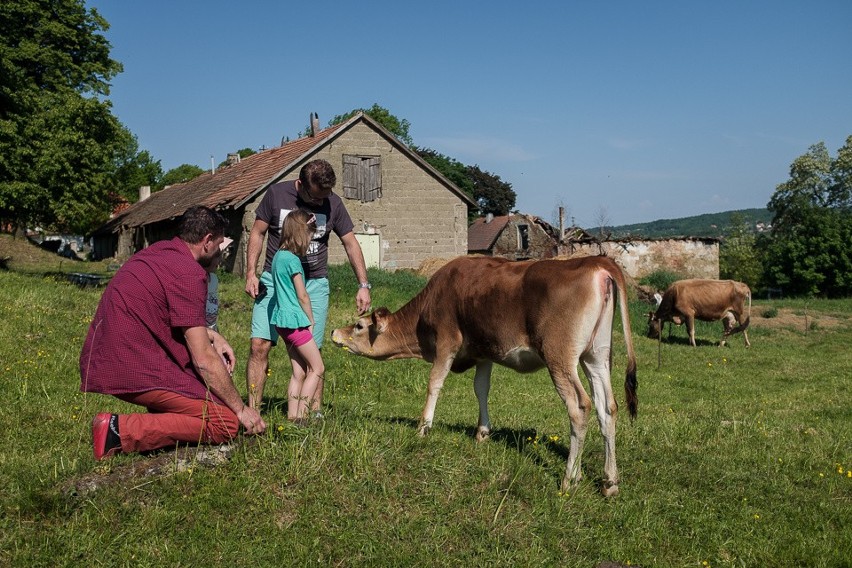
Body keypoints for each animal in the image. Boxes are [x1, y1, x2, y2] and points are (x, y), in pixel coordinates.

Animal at [332, 255, 640, 494]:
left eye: (359, 326)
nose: (334, 331)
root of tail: (597, 262)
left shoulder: (447, 340)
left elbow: (435, 382)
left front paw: (423, 428)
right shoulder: (483, 353)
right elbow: (481, 388)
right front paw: (482, 432)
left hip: (560, 356)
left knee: (580, 406)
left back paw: (569, 479)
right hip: (596, 356)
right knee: (607, 407)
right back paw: (610, 482)